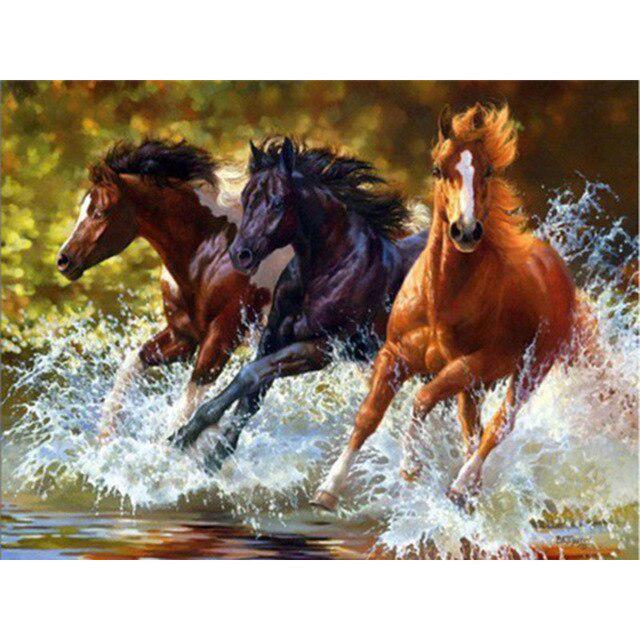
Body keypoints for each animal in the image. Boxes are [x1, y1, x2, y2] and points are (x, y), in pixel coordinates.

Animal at [57, 140, 293, 438]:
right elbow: (130, 368)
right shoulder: (183, 335)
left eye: (99, 212)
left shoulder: (222, 337)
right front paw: (105, 440)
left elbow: (183, 412)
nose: (63, 260)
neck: (212, 253)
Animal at [167, 137, 428, 470]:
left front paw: (188, 433)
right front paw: (213, 456)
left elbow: (249, 375)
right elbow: (252, 395)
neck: (328, 270)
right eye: (246, 197)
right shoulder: (274, 337)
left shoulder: (320, 348)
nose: (240, 255)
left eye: (278, 202)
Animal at [313, 103, 581, 512]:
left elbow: (422, 401)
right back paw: (469, 491)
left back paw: (460, 485)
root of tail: (555, 267)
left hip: (527, 371)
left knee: (498, 426)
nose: (466, 231)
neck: (440, 299)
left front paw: (410, 467)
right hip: (471, 386)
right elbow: (368, 416)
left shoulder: (479, 363)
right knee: (474, 429)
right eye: (438, 169)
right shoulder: (395, 355)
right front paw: (328, 489)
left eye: (488, 170)